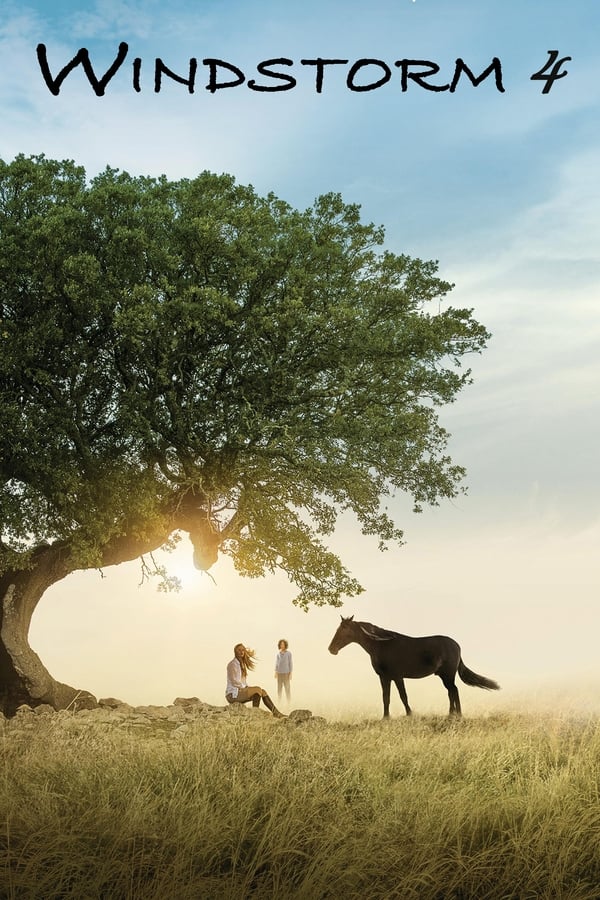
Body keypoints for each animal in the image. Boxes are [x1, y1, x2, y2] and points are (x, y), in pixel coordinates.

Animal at [328, 612, 496, 716]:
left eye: (344, 630)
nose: (331, 649)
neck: (382, 644)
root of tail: (457, 645)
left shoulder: (397, 677)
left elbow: (403, 696)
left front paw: (410, 714)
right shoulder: (384, 678)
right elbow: (386, 697)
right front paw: (385, 717)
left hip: (447, 675)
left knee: (453, 691)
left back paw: (457, 714)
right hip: (444, 676)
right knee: (451, 692)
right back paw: (452, 714)